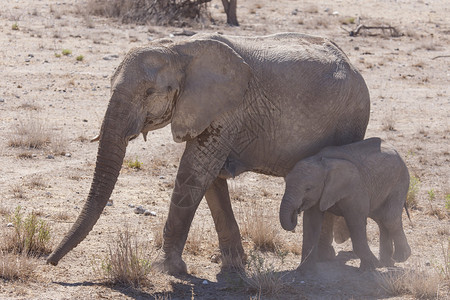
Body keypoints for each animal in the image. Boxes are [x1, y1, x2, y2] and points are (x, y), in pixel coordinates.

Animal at [46, 32, 370, 274]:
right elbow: (210, 177)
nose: (50, 262)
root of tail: (352, 64)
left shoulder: (228, 109)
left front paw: (165, 269)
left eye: (150, 93)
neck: (179, 50)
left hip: (351, 119)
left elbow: (195, 171)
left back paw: (322, 263)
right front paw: (232, 264)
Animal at [282, 137, 412, 270]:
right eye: (286, 182)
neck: (321, 161)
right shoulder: (319, 195)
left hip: (400, 181)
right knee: (381, 220)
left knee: (389, 218)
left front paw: (371, 267)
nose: (296, 211)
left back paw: (400, 258)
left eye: (308, 188)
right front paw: (305, 271)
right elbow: (311, 222)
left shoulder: (355, 187)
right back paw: (386, 263)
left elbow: (356, 220)